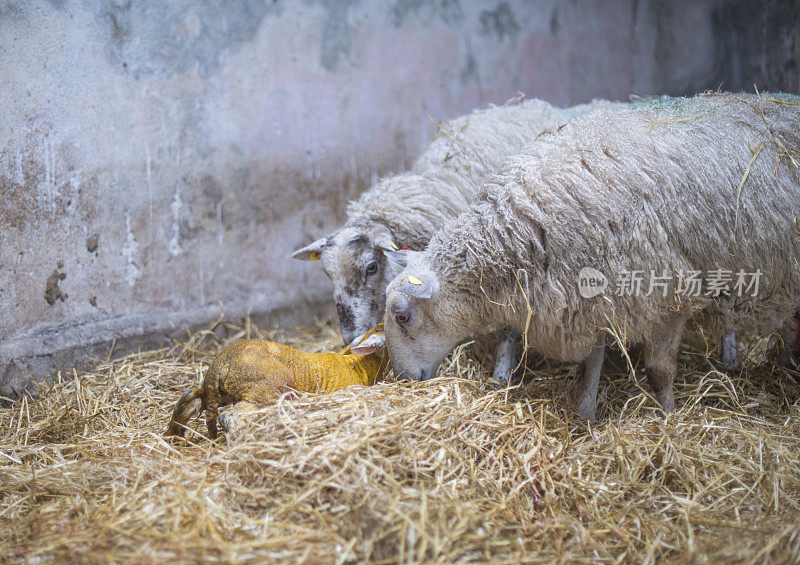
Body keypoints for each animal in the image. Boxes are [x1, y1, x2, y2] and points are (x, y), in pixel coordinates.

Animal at [166, 324, 388, 438]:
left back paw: (175, 434)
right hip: (264, 391)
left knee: (190, 400)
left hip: (219, 393)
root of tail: (221, 365)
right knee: (230, 417)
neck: (359, 365)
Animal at [292, 97, 620, 382]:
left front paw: (501, 373)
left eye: (371, 267)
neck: (441, 182)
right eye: (327, 274)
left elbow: (508, 326)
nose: (349, 338)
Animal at [382, 91, 800, 418]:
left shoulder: (664, 294)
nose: (402, 381)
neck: (526, 228)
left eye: (402, 316)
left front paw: (667, 417)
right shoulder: (592, 295)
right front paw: (585, 413)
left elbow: (659, 369)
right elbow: (592, 360)